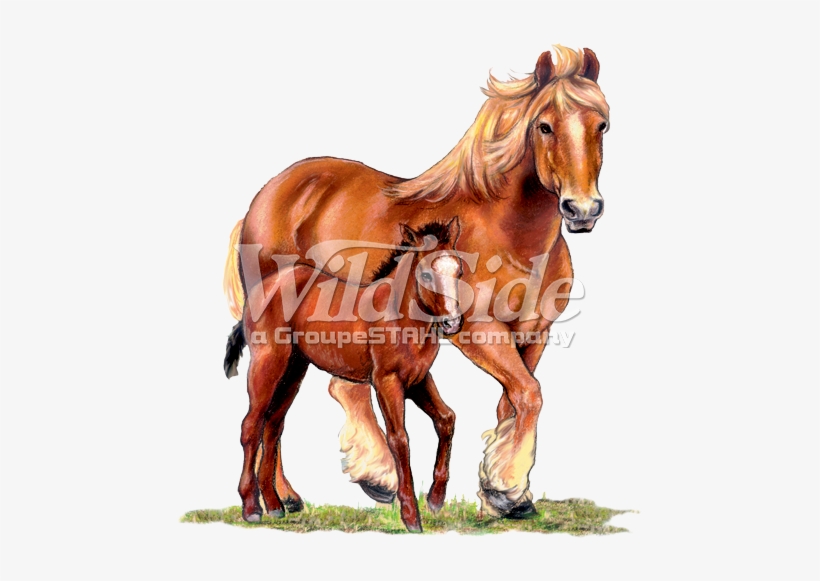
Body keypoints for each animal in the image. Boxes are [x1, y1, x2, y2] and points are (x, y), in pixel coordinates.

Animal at [225, 219, 463, 531]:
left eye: (459, 271)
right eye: (425, 274)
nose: (452, 322)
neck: (399, 314)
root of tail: (264, 287)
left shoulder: (418, 380)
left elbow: (446, 419)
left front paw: (435, 499)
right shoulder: (387, 382)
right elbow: (399, 438)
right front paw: (411, 516)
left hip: (293, 371)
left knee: (273, 425)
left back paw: (275, 506)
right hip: (268, 364)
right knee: (251, 426)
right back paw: (252, 507)